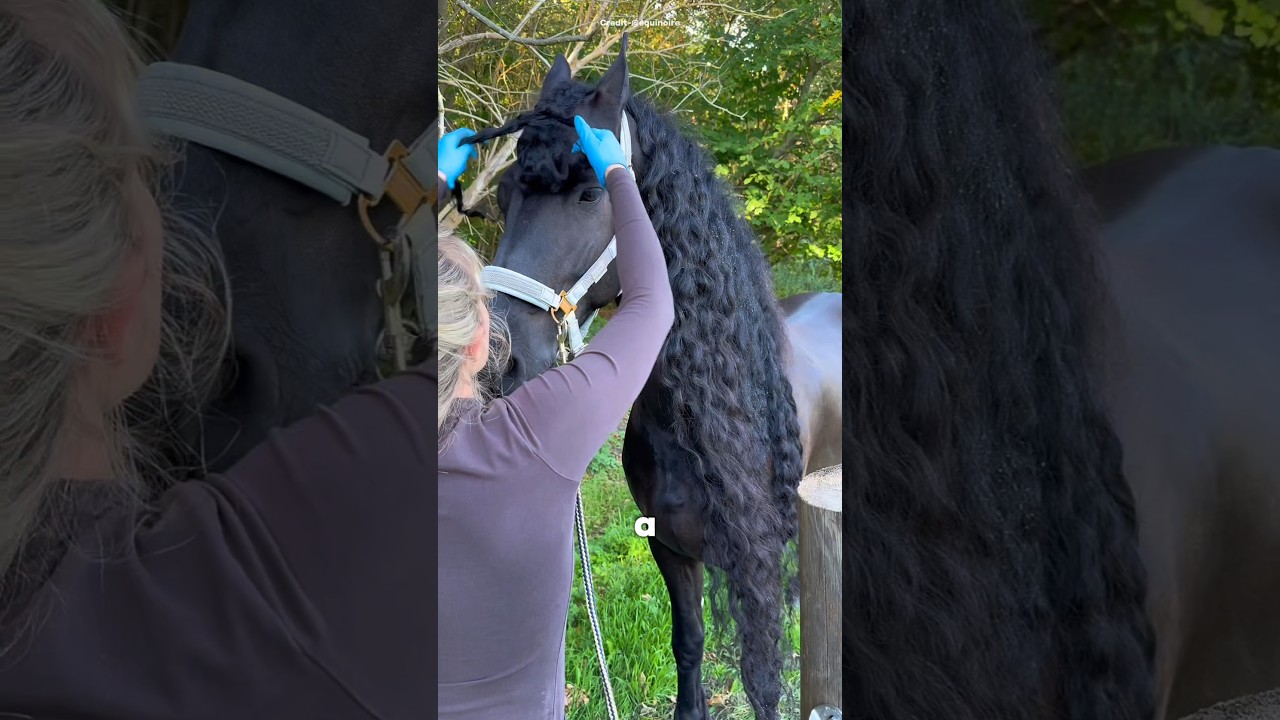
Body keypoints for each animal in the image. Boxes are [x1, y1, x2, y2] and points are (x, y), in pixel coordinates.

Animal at [464, 39, 843, 720]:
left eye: (591, 194)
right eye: (505, 195)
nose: (501, 360)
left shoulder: (757, 562)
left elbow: (765, 677)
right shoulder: (670, 550)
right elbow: (688, 645)